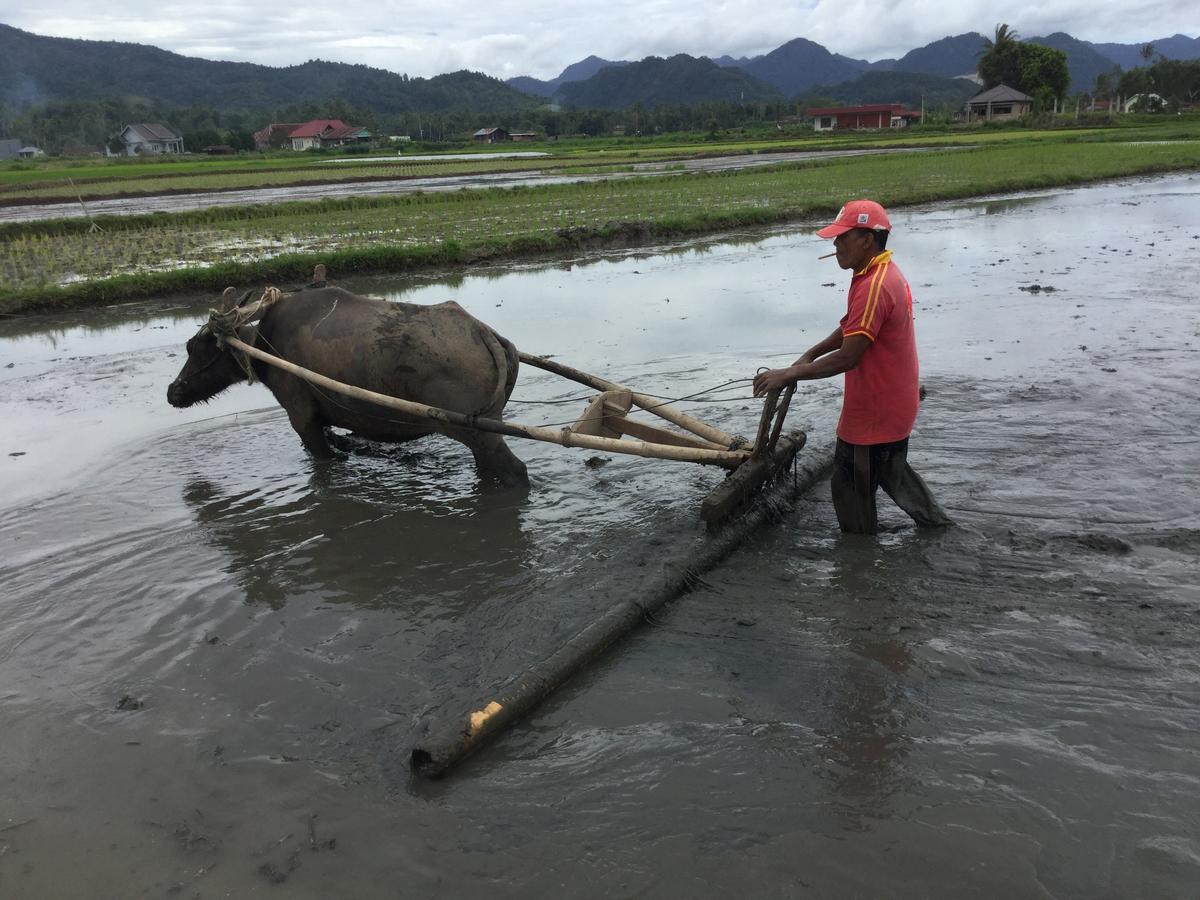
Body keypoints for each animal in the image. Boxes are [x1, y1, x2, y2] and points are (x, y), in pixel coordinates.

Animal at [166, 286, 528, 487]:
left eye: (193, 348)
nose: (173, 392)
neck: (266, 347)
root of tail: (482, 331)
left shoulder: (303, 420)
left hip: (481, 434)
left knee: (515, 472)